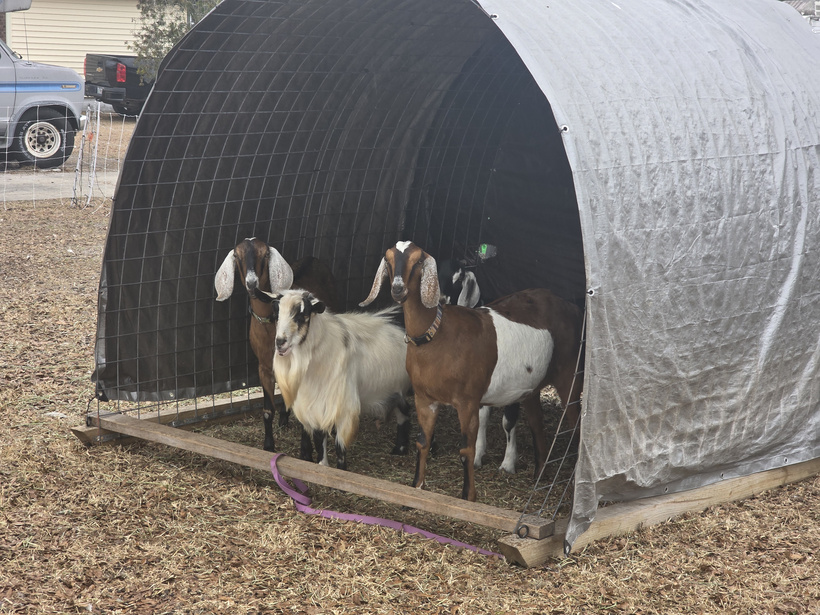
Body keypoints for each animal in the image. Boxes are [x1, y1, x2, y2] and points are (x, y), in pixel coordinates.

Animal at [214, 237, 340, 453]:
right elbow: (267, 410)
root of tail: (312, 258)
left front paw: (305, 451)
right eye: (237, 255)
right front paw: (268, 446)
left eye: (265, 254)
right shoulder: (264, 367)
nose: (252, 283)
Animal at [257, 288, 412, 470]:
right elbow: (319, 438)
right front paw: (322, 464)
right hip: (396, 389)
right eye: (276, 314)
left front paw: (341, 471)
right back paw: (399, 449)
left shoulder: (343, 407)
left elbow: (340, 446)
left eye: (302, 315)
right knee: (404, 410)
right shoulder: (315, 405)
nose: (280, 342)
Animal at [361, 241, 583, 502]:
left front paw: (468, 495)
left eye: (418, 261)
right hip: (530, 386)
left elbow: (467, 448)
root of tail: (572, 307)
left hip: (570, 375)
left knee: (576, 425)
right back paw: (539, 476)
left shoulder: (467, 401)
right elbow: (422, 442)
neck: (438, 333)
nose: (397, 289)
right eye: (389, 259)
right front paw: (416, 488)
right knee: (537, 424)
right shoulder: (425, 399)